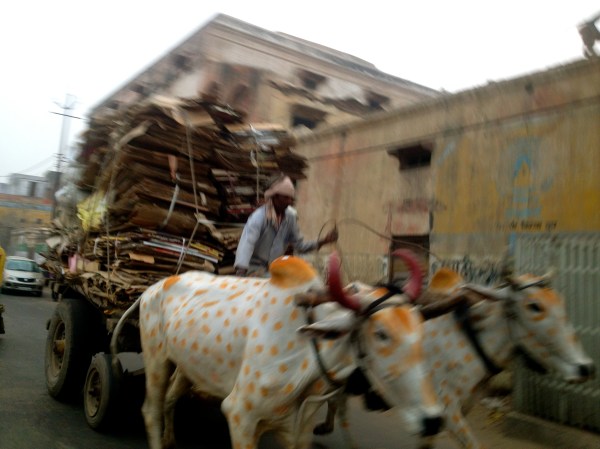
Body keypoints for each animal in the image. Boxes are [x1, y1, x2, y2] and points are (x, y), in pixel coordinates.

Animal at [120, 250, 444, 449]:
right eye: (381, 334)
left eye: (420, 327)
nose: (433, 420)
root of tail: (153, 288)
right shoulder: (239, 415)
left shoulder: (297, 430)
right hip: (156, 358)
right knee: (151, 409)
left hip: (186, 366)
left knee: (170, 399)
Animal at [316, 266, 595, 449]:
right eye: (535, 306)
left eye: (560, 302)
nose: (586, 368)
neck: (471, 340)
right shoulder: (448, 411)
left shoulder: (446, 413)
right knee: (339, 406)